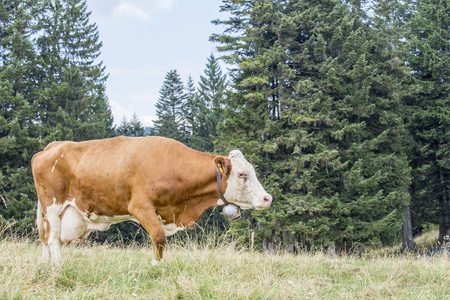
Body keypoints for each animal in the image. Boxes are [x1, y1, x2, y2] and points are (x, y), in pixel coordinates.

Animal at [31, 136, 272, 262]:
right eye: (242, 174)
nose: (267, 198)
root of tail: (54, 145)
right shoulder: (141, 207)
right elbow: (158, 238)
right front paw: (157, 268)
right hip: (53, 206)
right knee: (53, 239)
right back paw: (58, 266)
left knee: (48, 238)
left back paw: (46, 265)